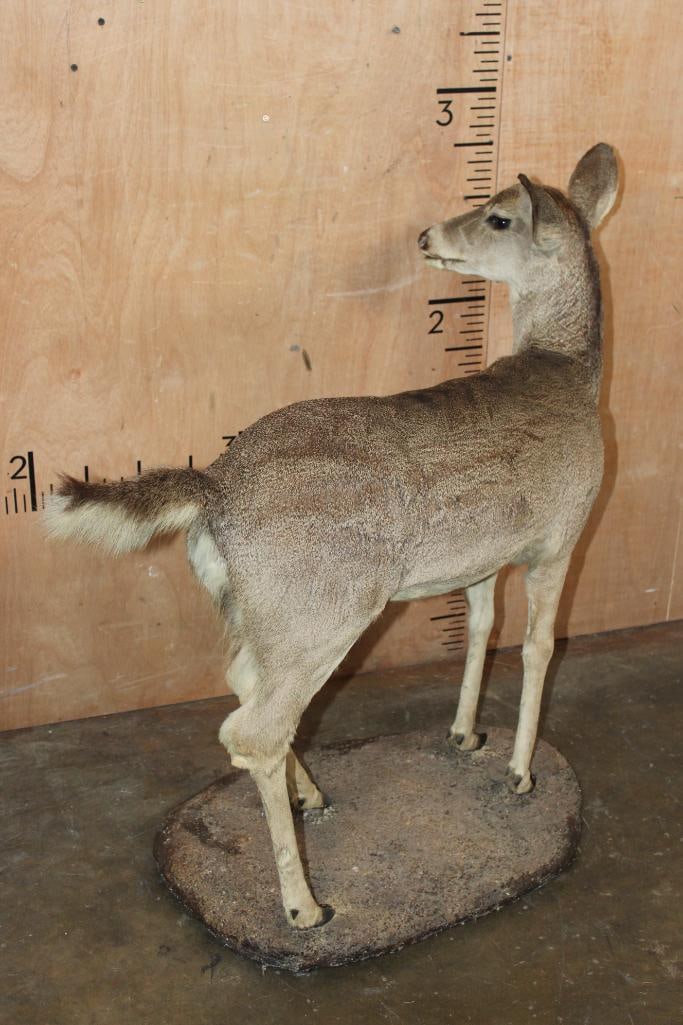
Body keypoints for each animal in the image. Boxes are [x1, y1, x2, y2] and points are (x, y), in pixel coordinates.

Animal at [45, 143, 618, 931]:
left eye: (498, 216)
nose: (427, 235)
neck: (566, 373)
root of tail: (214, 490)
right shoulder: (563, 532)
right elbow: (538, 648)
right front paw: (520, 772)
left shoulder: (487, 554)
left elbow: (480, 628)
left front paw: (466, 735)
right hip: (323, 608)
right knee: (251, 728)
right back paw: (305, 906)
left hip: (257, 609)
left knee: (244, 685)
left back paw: (311, 793)